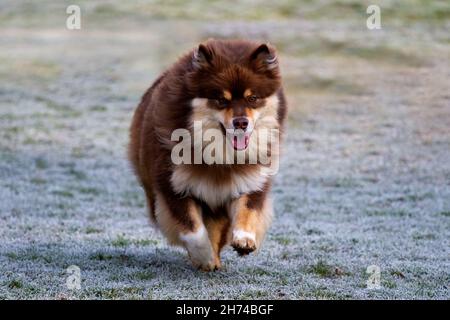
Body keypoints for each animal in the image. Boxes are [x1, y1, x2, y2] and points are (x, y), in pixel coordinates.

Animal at [128, 38, 286, 272]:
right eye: (221, 100)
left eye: (253, 98)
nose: (241, 123)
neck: (220, 157)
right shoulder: (173, 186)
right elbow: (193, 230)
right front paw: (205, 258)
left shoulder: (252, 182)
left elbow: (247, 211)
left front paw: (244, 240)